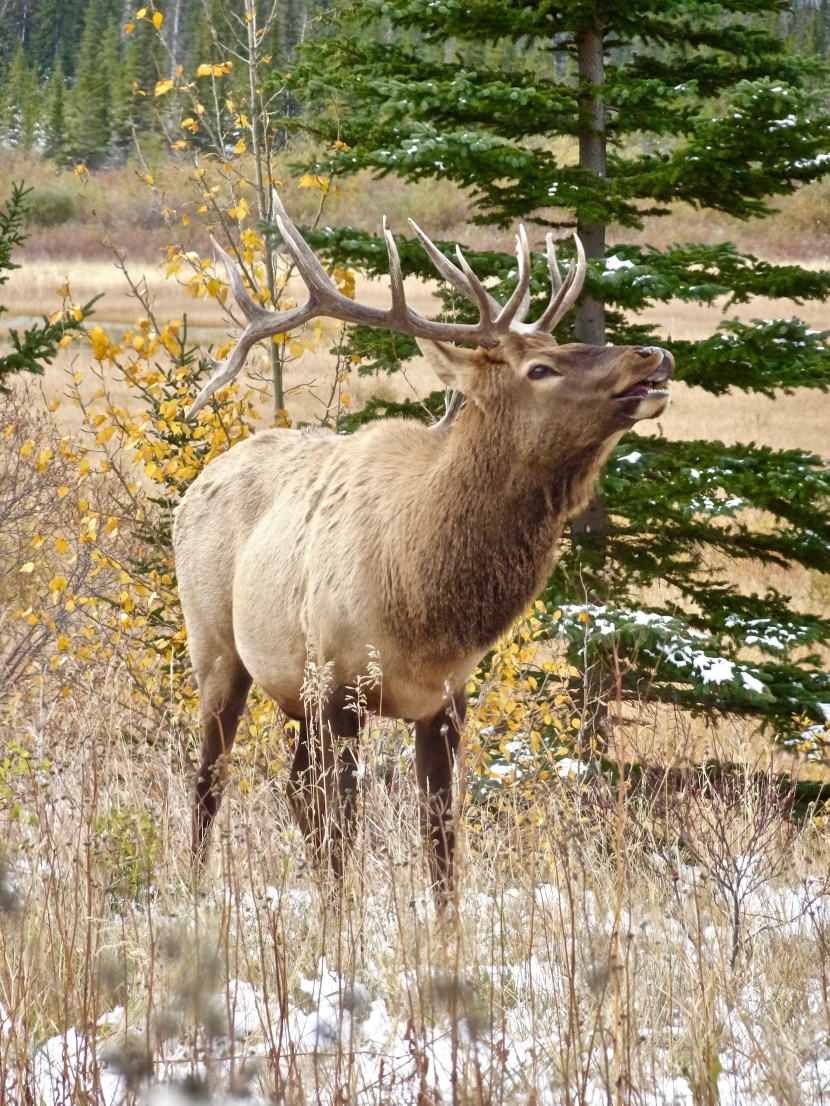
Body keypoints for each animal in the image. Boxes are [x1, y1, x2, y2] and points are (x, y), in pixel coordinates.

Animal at [173, 192, 677, 889]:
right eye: (540, 368)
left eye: (554, 342)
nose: (652, 354)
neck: (422, 606)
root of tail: (195, 485)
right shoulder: (338, 689)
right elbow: (345, 840)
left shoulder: (444, 703)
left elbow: (441, 848)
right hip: (218, 648)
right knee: (209, 782)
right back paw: (194, 888)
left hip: (290, 690)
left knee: (293, 789)